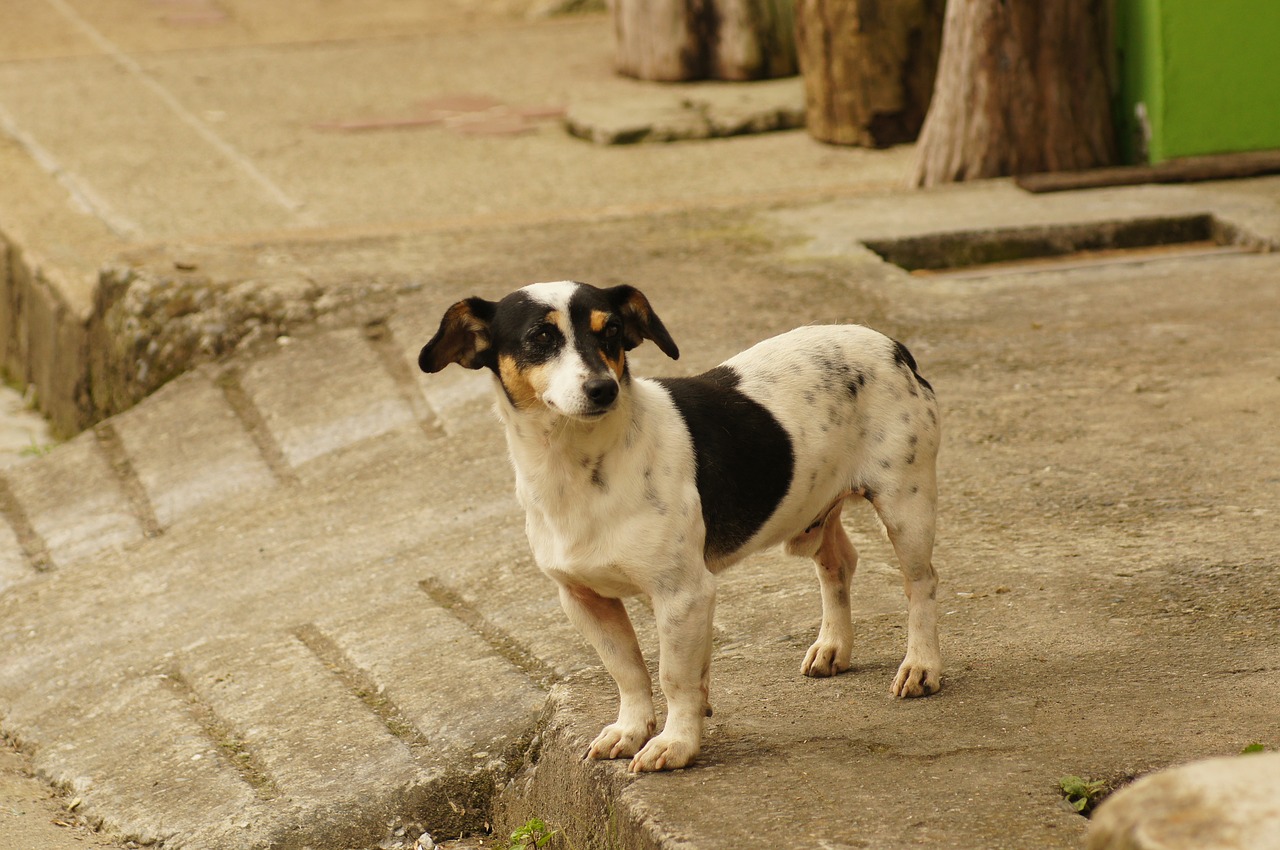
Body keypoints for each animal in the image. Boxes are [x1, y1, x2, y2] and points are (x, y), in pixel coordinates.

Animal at [419, 281, 942, 773]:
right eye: (540, 338)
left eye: (611, 331)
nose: (603, 389)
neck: (579, 467)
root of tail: (889, 343)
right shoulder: (583, 599)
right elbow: (628, 671)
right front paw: (631, 729)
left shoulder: (682, 594)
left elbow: (673, 675)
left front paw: (676, 743)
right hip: (810, 517)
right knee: (839, 564)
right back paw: (833, 646)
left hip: (905, 507)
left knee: (921, 583)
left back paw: (920, 665)